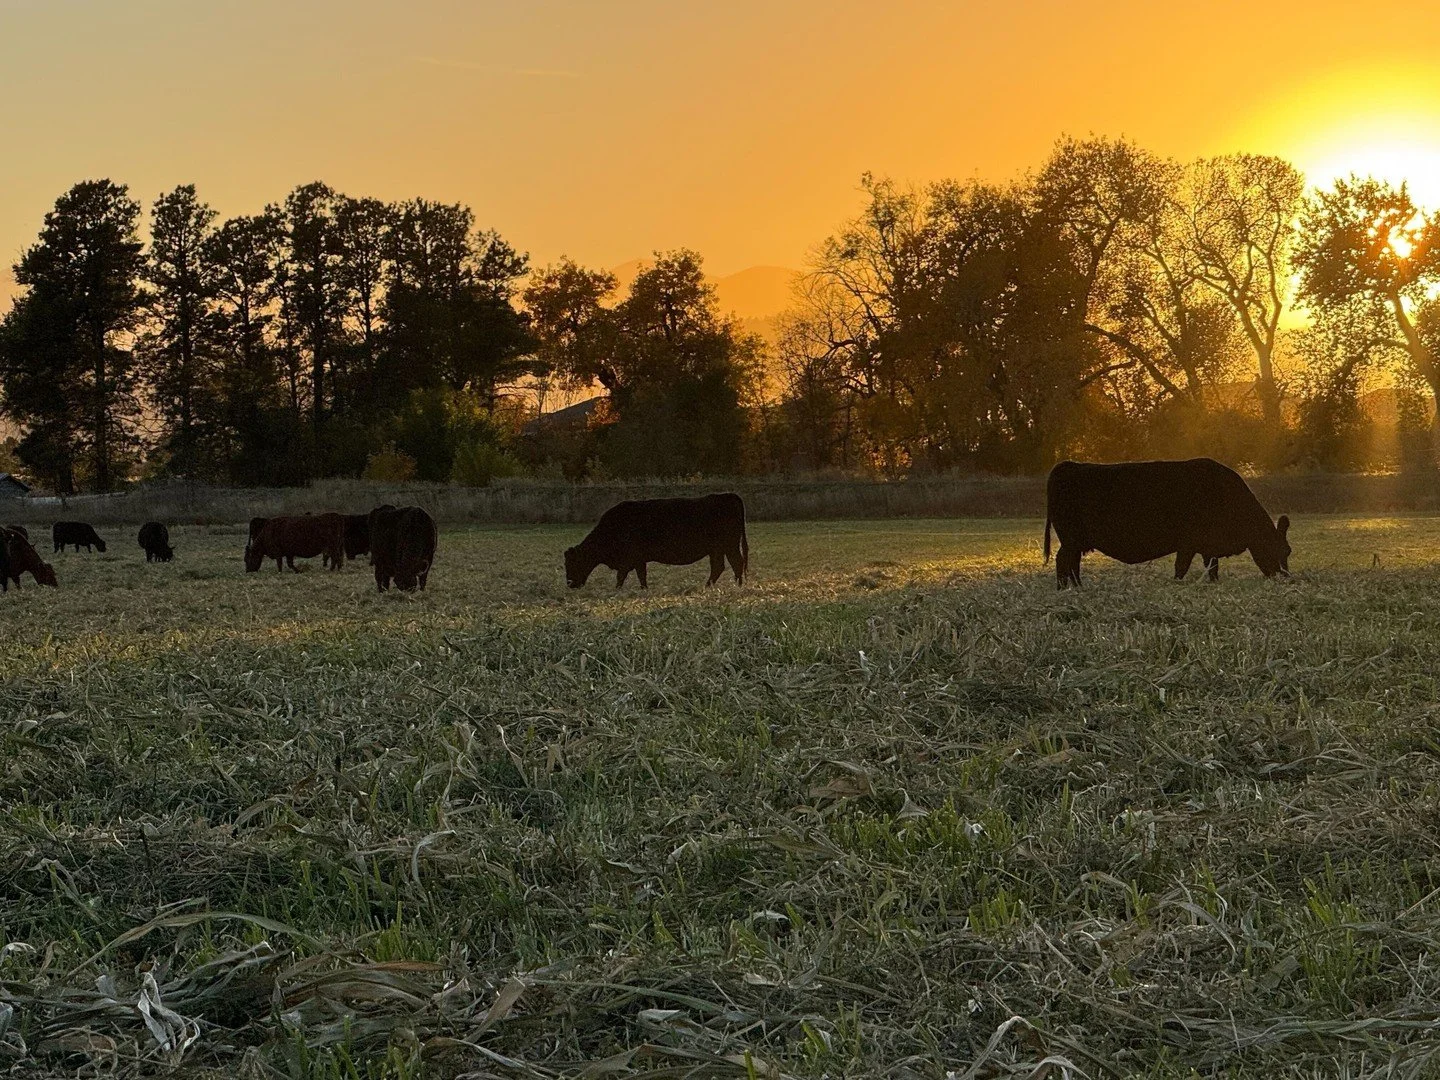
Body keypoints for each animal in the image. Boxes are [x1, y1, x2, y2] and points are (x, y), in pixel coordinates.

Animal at [565, 493, 749, 590]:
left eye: (573, 562)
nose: (569, 583)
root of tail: (727, 495)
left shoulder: (628, 558)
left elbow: (621, 576)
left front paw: (617, 590)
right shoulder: (638, 559)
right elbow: (641, 575)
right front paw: (644, 589)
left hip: (729, 545)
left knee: (736, 562)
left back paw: (738, 585)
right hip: (717, 549)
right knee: (719, 566)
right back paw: (710, 586)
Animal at [1043, 458, 1291, 590]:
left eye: (1288, 551)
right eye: (1277, 549)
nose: (1285, 578)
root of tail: (1068, 464)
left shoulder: (1208, 546)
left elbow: (1212, 568)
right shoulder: (1188, 543)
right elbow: (1181, 568)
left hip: (1075, 542)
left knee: (1072, 563)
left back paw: (1077, 587)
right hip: (1071, 539)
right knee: (1063, 560)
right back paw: (1064, 589)